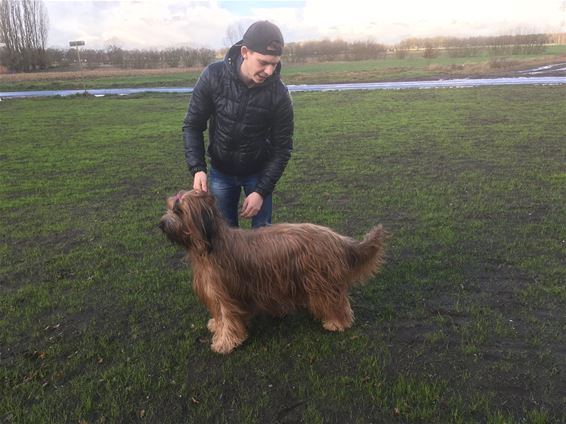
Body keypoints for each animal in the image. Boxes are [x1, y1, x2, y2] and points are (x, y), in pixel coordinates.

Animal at [161, 190, 390, 352]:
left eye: (179, 211)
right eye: (170, 208)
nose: (161, 223)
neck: (209, 246)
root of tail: (337, 239)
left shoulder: (225, 293)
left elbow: (227, 318)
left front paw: (225, 342)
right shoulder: (213, 293)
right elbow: (219, 316)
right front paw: (216, 327)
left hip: (321, 282)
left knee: (336, 302)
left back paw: (337, 323)